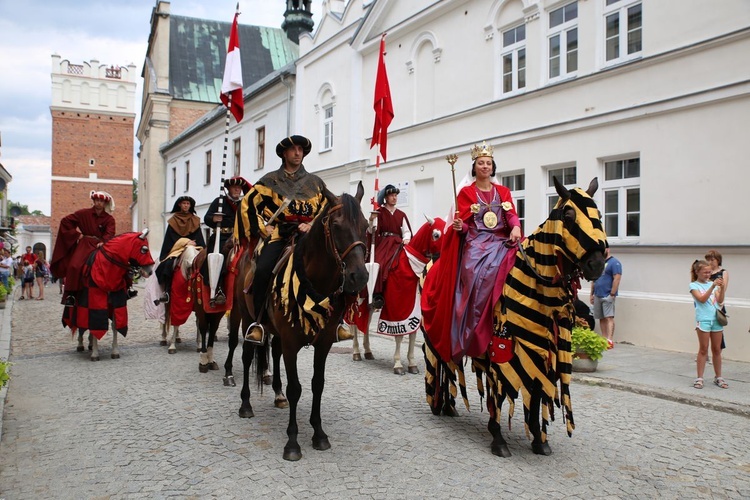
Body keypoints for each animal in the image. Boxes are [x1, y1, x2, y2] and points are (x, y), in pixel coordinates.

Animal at [239, 183, 368, 460]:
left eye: (365, 225)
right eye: (337, 226)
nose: (360, 277)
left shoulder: (324, 343)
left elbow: (317, 384)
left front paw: (319, 434)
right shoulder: (291, 343)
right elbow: (296, 388)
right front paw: (292, 442)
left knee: (273, 353)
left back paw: (277, 395)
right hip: (245, 319)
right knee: (245, 356)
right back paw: (245, 404)